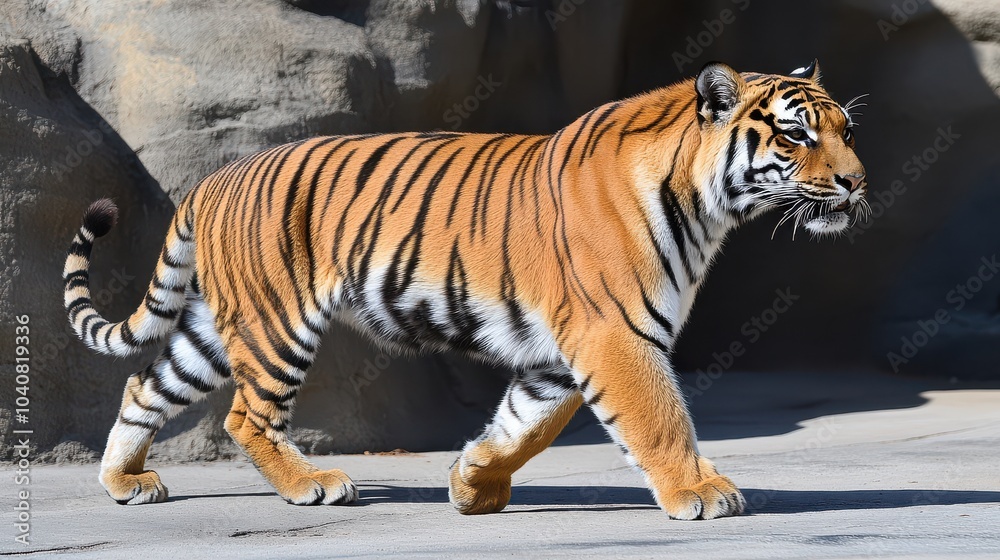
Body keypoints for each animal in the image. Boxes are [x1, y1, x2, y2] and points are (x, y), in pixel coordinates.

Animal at [63, 60, 867, 520]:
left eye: (846, 129)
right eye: (796, 135)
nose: (858, 182)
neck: (707, 206)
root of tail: (213, 180)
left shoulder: (558, 355)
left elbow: (526, 425)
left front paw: (472, 481)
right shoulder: (615, 334)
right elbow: (660, 419)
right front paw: (701, 494)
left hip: (216, 328)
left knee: (144, 386)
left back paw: (123, 483)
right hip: (276, 325)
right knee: (244, 417)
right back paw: (311, 484)